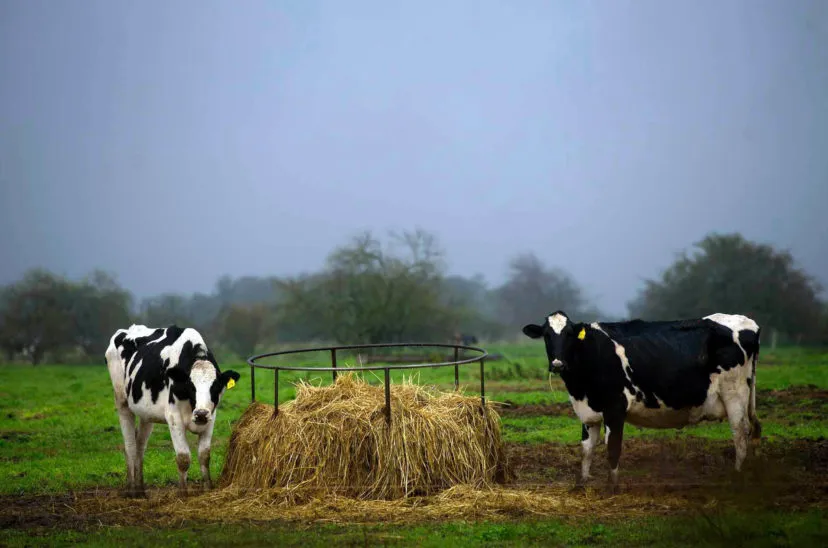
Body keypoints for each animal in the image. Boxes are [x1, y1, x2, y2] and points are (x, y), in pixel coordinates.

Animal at [105, 324, 240, 497]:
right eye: (190, 386)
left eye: (215, 387)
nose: (201, 414)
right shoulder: (174, 417)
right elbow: (183, 458)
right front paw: (183, 493)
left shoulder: (211, 417)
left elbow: (204, 455)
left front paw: (208, 488)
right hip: (122, 402)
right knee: (130, 446)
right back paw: (131, 490)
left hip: (146, 413)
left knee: (140, 446)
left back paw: (141, 490)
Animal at [522, 311, 761, 491]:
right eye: (546, 335)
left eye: (569, 334)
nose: (557, 364)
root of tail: (748, 323)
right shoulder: (588, 411)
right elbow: (586, 449)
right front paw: (581, 484)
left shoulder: (615, 408)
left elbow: (613, 447)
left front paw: (612, 487)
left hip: (734, 393)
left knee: (740, 433)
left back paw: (737, 475)